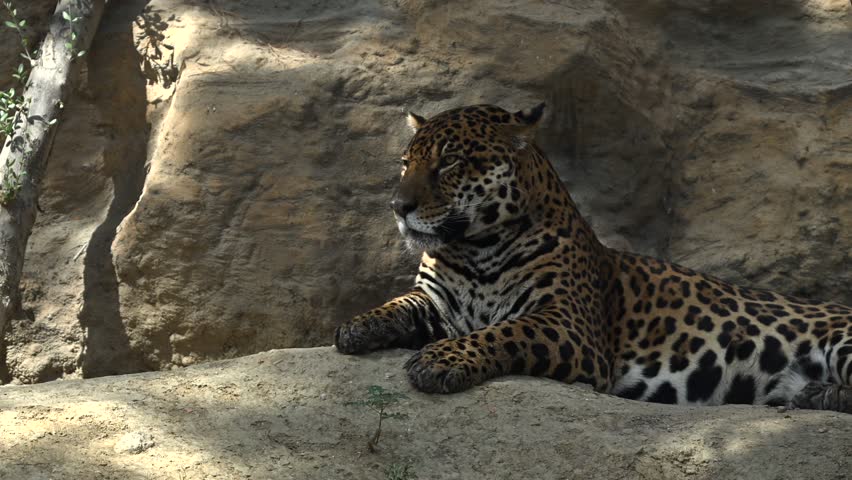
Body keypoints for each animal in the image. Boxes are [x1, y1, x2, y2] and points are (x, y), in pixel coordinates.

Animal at [334, 102, 852, 413]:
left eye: (450, 163)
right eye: (406, 164)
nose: (398, 206)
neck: (474, 246)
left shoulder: (568, 323)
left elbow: (505, 332)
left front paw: (440, 359)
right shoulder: (436, 302)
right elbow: (398, 305)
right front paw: (356, 326)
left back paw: (818, 393)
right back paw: (811, 394)